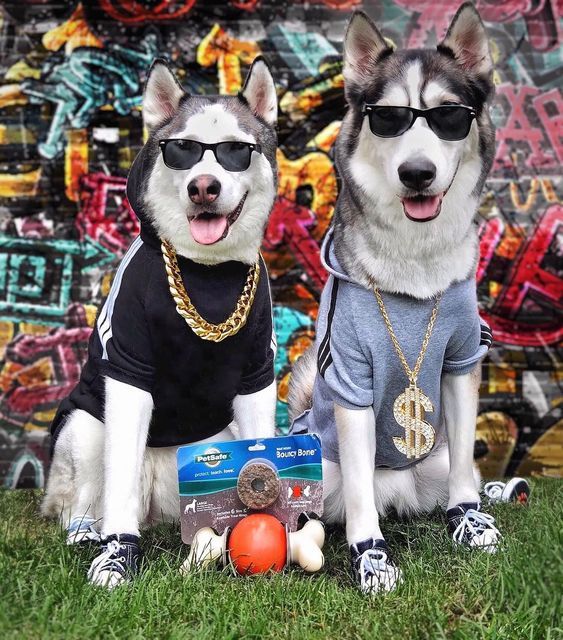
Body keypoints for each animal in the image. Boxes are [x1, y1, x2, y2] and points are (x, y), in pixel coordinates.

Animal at [43, 57, 280, 588]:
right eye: (183, 151)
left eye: (235, 151)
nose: (203, 186)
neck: (206, 271)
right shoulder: (128, 373)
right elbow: (119, 485)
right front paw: (117, 556)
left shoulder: (257, 375)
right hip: (86, 427)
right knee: (88, 501)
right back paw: (89, 533)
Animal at [294, 3, 500, 596]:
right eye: (389, 117)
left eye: (449, 115)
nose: (417, 173)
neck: (416, 264)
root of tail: (400, 495)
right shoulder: (350, 377)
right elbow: (361, 497)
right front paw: (372, 558)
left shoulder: (462, 359)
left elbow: (464, 469)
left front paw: (470, 519)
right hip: (319, 464)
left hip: (436, 459)